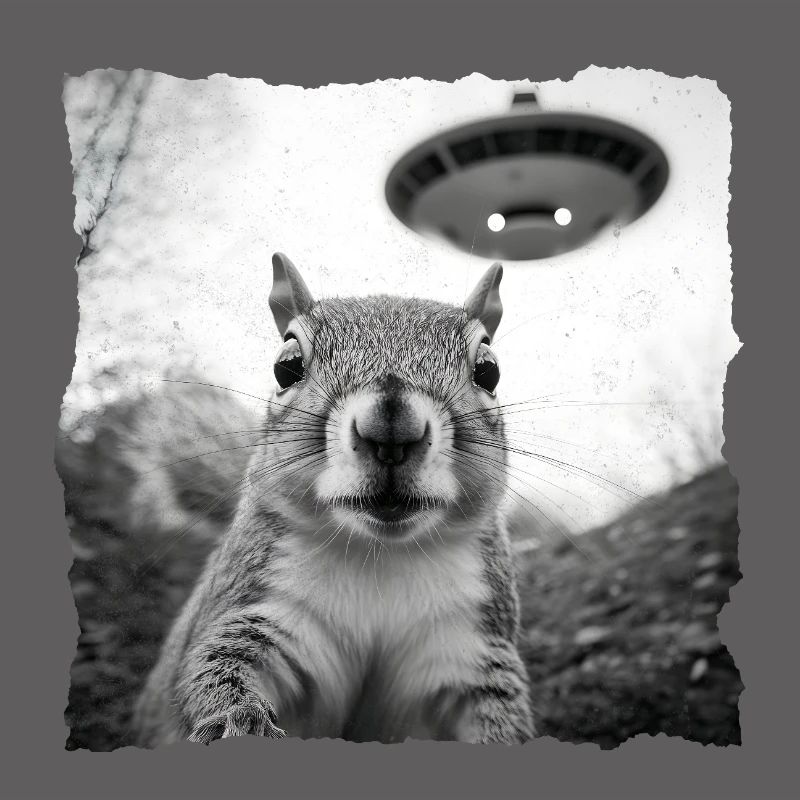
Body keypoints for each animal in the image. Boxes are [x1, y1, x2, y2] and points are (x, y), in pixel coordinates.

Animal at [133, 252, 535, 746]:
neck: (381, 555)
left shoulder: (468, 647)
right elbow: (216, 666)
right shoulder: (261, 607)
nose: (391, 428)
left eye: (489, 370)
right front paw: (239, 721)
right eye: (286, 366)